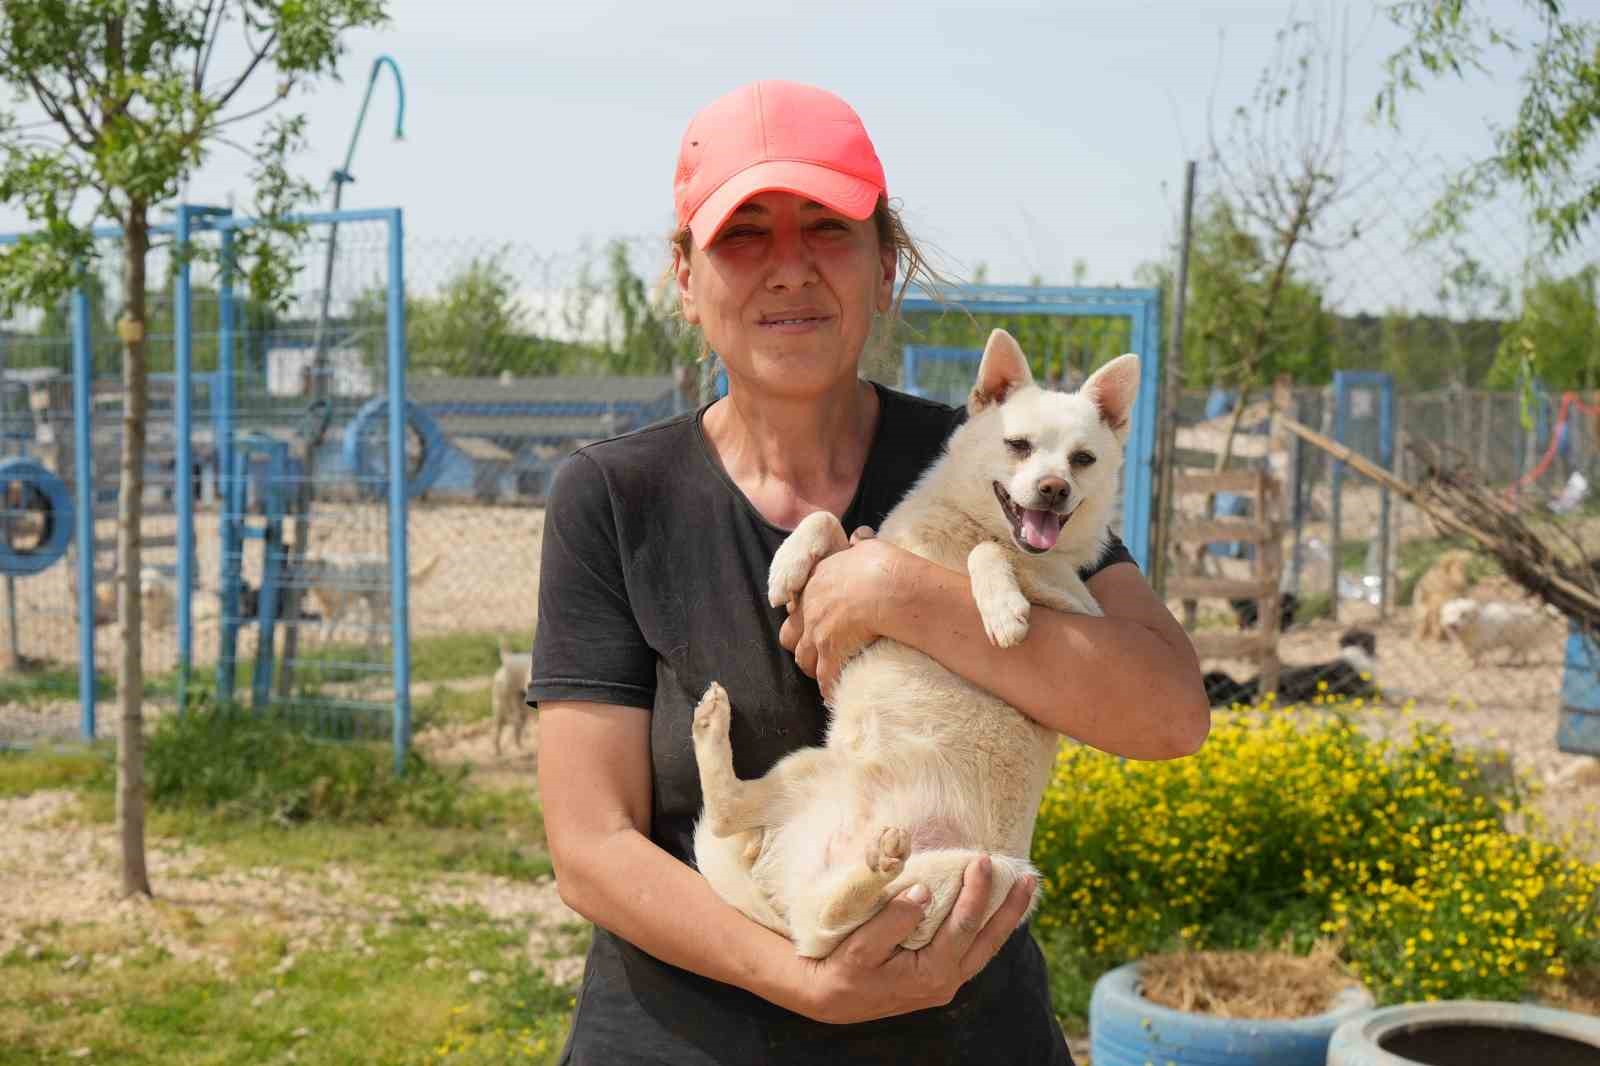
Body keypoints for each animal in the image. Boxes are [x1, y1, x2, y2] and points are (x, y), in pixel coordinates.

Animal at [688, 329, 1139, 953]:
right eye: (1018, 445)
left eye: (1083, 460)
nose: (1055, 488)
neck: (960, 532)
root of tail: (792, 904)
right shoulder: (867, 547)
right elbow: (829, 521)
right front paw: (789, 563)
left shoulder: (1077, 605)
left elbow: (991, 553)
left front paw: (1001, 608)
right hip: (808, 770)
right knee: (745, 829)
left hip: (988, 872)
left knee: (842, 916)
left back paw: (875, 866)